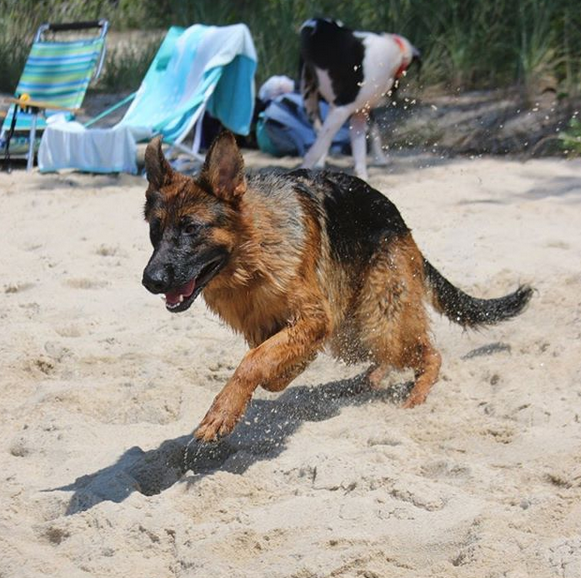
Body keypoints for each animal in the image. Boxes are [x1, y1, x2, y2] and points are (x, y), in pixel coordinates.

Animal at [140, 132, 532, 440]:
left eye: (191, 228)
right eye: (155, 230)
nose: (149, 281)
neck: (254, 252)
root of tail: (400, 221)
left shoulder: (315, 319)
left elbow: (253, 362)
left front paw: (222, 412)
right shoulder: (279, 327)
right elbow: (268, 362)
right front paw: (284, 375)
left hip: (377, 320)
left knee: (428, 353)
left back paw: (417, 395)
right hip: (351, 335)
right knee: (388, 356)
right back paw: (370, 379)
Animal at [302, 18, 420, 178]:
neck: (395, 51)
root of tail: (314, 20)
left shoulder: (359, 113)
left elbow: (360, 153)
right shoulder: (341, 109)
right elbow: (316, 149)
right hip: (309, 99)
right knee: (320, 134)